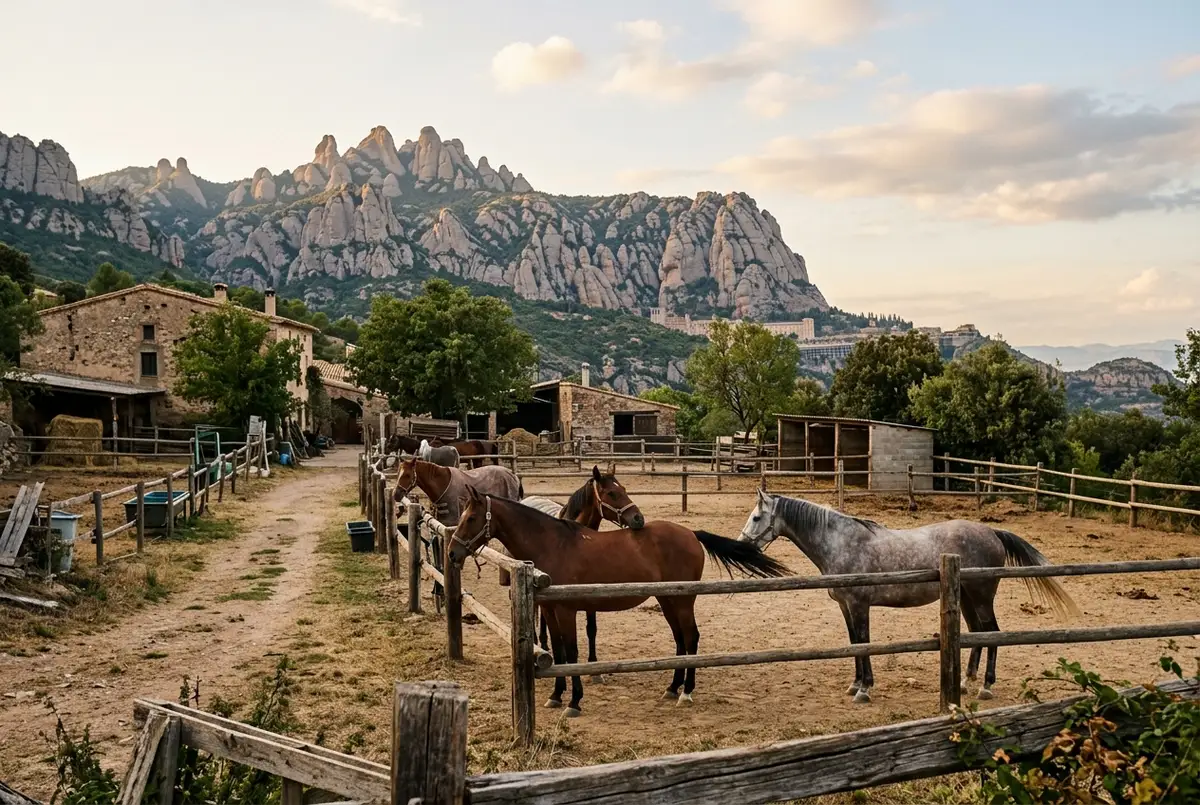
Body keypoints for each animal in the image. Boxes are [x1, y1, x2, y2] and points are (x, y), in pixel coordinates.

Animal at [449, 488, 791, 717]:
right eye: (463, 516)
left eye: (473, 517)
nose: (453, 553)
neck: (554, 543)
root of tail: (690, 533)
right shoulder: (549, 609)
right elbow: (557, 651)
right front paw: (557, 695)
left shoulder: (566, 610)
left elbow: (572, 653)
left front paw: (574, 702)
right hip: (667, 599)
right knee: (681, 640)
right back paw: (672, 688)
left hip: (682, 600)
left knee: (691, 638)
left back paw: (686, 693)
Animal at [519, 465, 645, 676]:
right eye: (611, 493)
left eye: (624, 489)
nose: (638, 519)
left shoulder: (592, 593)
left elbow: (591, 628)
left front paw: (594, 668)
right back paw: (540, 644)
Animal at [737, 491, 1078, 703]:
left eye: (756, 518)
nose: (742, 546)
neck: (841, 542)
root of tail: (992, 532)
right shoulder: (846, 607)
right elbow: (854, 643)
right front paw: (855, 684)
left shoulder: (859, 606)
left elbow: (864, 642)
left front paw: (865, 689)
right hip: (967, 598)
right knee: (977, 633)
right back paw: (966, 682)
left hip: (981, 598)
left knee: (993, 633)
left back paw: (985, 687)